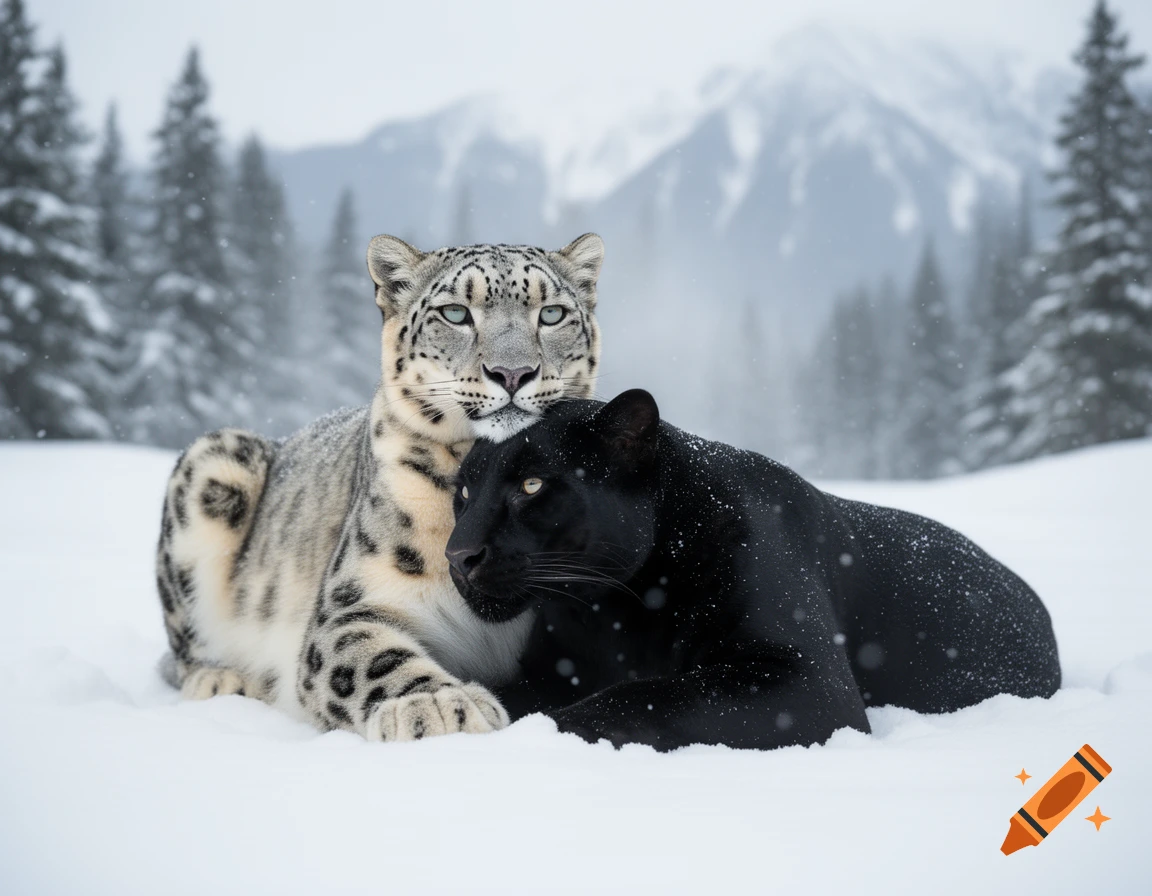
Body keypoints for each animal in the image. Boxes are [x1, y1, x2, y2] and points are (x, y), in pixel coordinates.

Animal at [154, 232, 604, 741]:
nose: (513, 373)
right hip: (212, 465)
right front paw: (439, 704)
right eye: (455, 313)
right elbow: (372, 658)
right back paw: (221, 678)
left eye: (552, 314)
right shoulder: (350, 605)